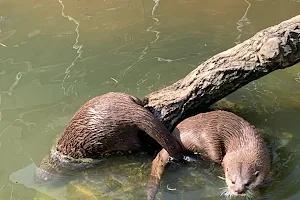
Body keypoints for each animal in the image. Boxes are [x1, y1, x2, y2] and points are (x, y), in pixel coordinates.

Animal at [36, 92, 184, 183]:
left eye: (45, 180)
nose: (37, 181)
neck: (60, 157)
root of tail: (126, 112)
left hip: (118, 137)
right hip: (121, 96)